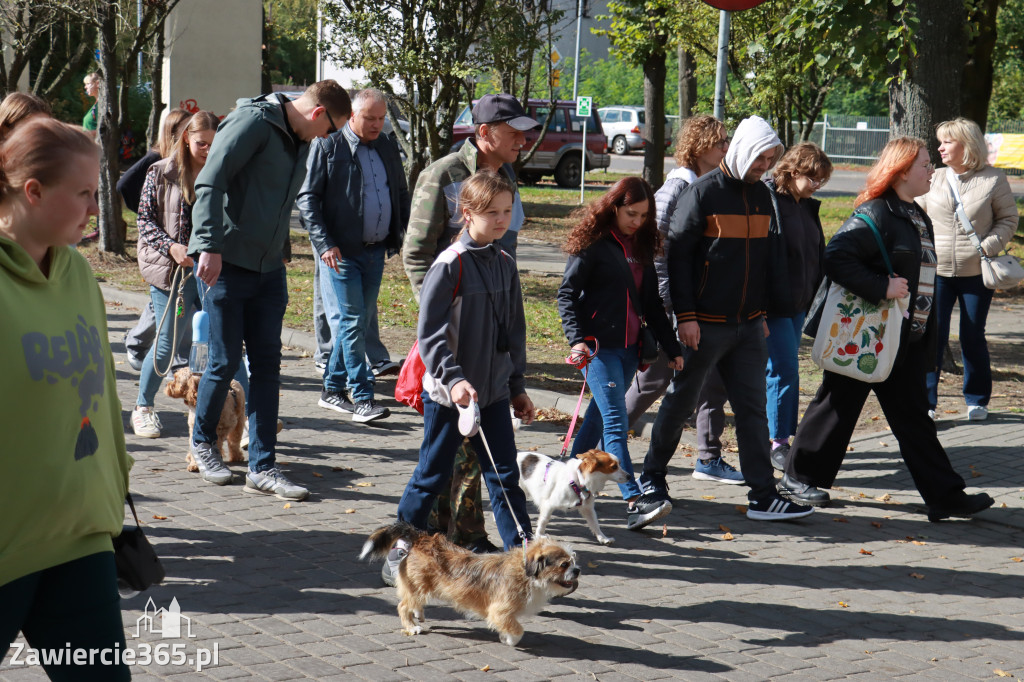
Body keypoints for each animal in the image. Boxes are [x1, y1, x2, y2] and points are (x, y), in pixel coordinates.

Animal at [362, 522, 581, 647]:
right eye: (564, 564)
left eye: (574, 560)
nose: (578, 570)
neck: (525, 572)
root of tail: (422, 538)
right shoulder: (499, 611)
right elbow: (517, 628)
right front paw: (511, 640)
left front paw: (504, 636)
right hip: (419, 587)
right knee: (402, 606)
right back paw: (411, 626)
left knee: (412, 604)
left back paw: (418, 614)